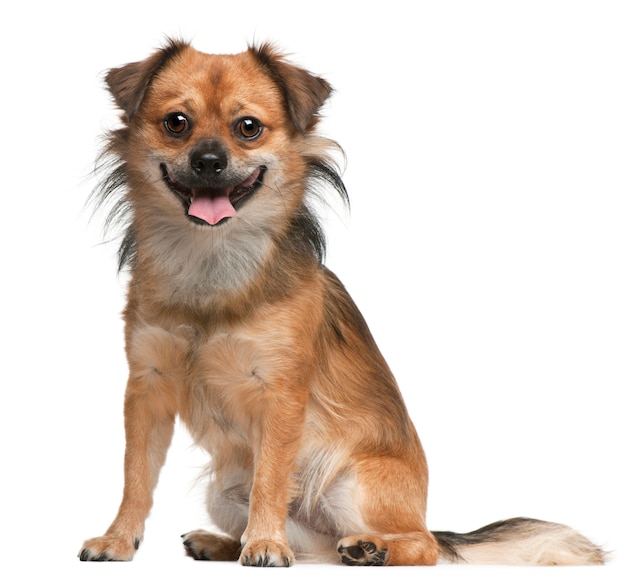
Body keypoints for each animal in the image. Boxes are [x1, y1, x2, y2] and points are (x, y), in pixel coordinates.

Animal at [78, 40, 600, 564]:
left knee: (422, 546)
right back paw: (224, 543)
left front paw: (265, 543)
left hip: (355, 485)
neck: (210, 260)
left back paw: (370, 549)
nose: (208, 160)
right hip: (224, 494)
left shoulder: (281, 393)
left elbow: (271, 478)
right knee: (316, 548)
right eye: (176, 123)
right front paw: (118, 539)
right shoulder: (147, 386)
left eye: (248, 127)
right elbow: (136, 476)